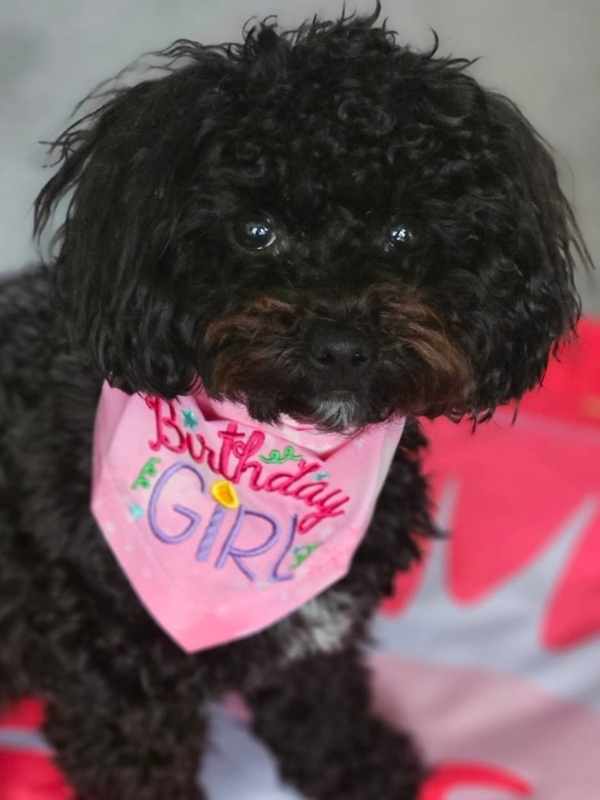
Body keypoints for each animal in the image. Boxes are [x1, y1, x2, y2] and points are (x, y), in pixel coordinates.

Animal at [0, 6, 592, 800]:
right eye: (257, 231)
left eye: (402, 231)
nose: (341, 344)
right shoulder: (117, 681)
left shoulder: (319, 630)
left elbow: (324, 708)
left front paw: (363, 771)